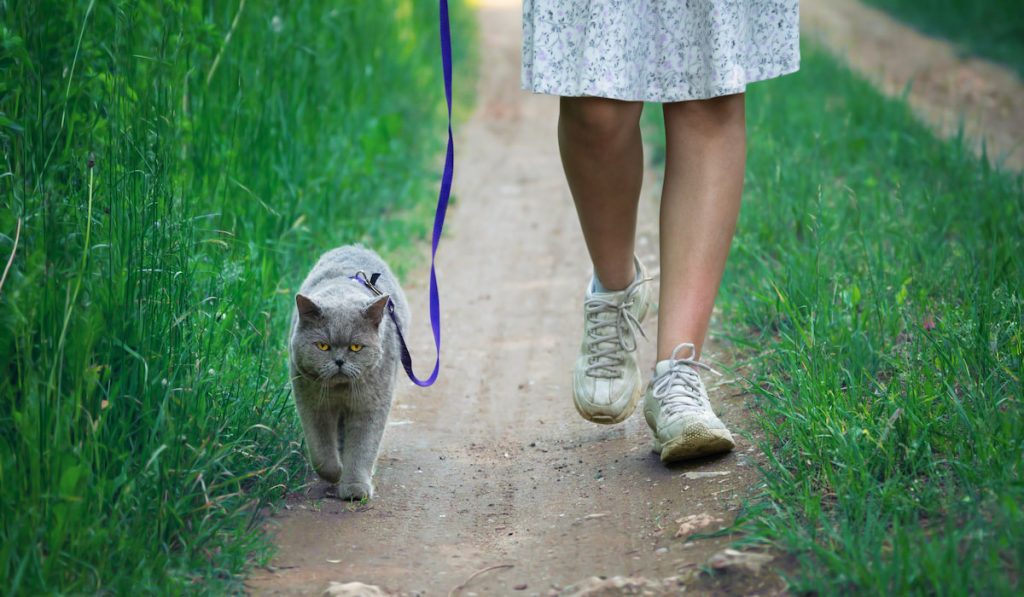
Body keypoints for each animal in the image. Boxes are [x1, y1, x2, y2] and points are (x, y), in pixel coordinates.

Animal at [286, 242, 409, 499]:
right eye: (323, 346)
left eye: (356, 347)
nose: (339, 361)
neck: (340, 391)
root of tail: (354, 246)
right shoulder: (312, 403)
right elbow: (321, 452)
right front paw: (336, 473)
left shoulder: (371, 405)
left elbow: (363, 447)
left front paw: (355, 488)